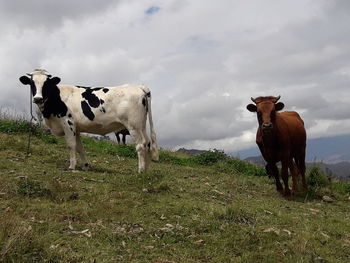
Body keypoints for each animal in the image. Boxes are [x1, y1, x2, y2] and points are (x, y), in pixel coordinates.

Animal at [19, 69, 159, 173]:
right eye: (32, 83)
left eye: (46, 84)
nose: (38, 98)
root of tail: (138, 87)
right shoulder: (76, 128)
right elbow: (80, 147)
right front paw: (85, 166)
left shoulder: (68, 122)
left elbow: (71, 145)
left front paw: (72, 166)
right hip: (141, 125)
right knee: (147, 143)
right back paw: (146, 170)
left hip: (133, 125)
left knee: (140, 145)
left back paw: (140, 170)